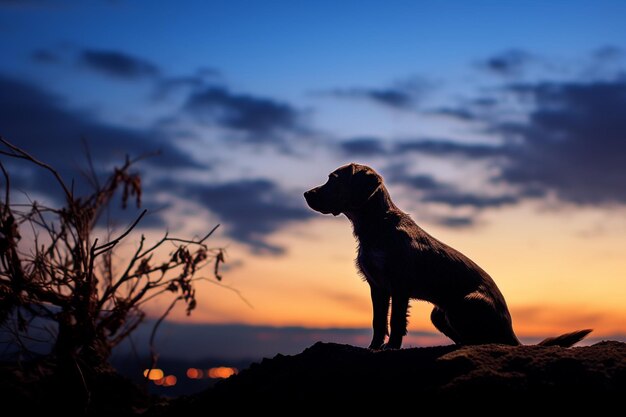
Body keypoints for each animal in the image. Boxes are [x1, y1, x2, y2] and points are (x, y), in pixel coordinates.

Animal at [302, 162, 588, 348]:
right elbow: (378, 321)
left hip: (466, 303)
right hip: (440, 314)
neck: (377, 225)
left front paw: (390, 348)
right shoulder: (378, 286)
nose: (306, 193)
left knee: (487, 342)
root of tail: (512, 333)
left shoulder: (399, 285)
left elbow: (396, 321)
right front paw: (373, 348)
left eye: (333, 179)